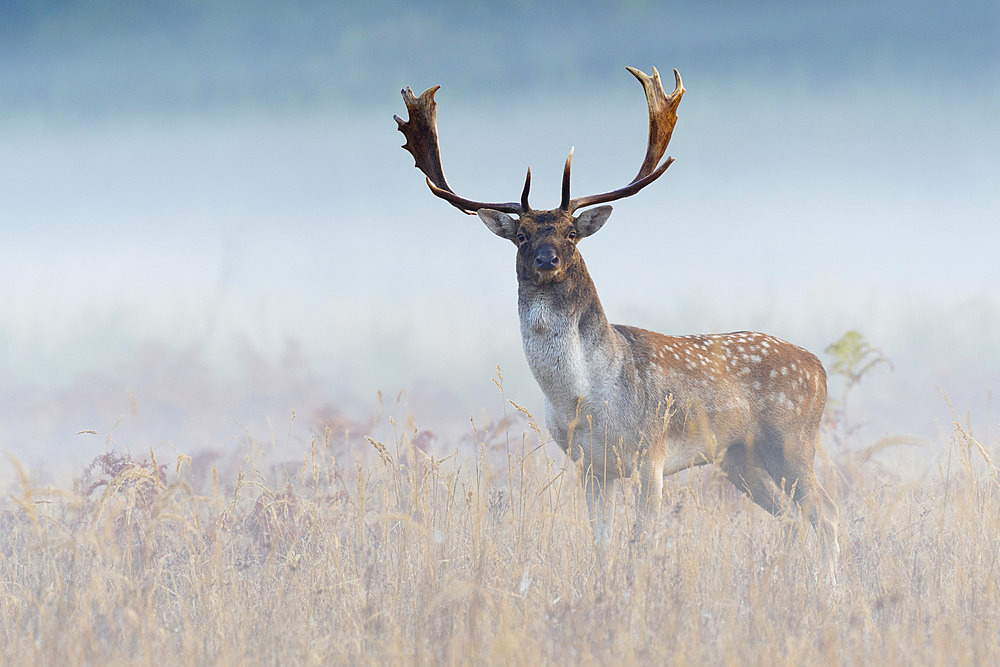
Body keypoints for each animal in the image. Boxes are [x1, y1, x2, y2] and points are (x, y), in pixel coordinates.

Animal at [394, 65, 840, 572]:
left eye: (571, 233)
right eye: (522, 235)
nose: (546, 259)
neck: (586, 398)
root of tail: (820, 368)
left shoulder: (651, 455)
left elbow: (640, 541)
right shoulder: (589, 465)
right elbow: (602, 544)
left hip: (791, 441)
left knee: (826, 513)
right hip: (739, 458)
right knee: (796, 517)